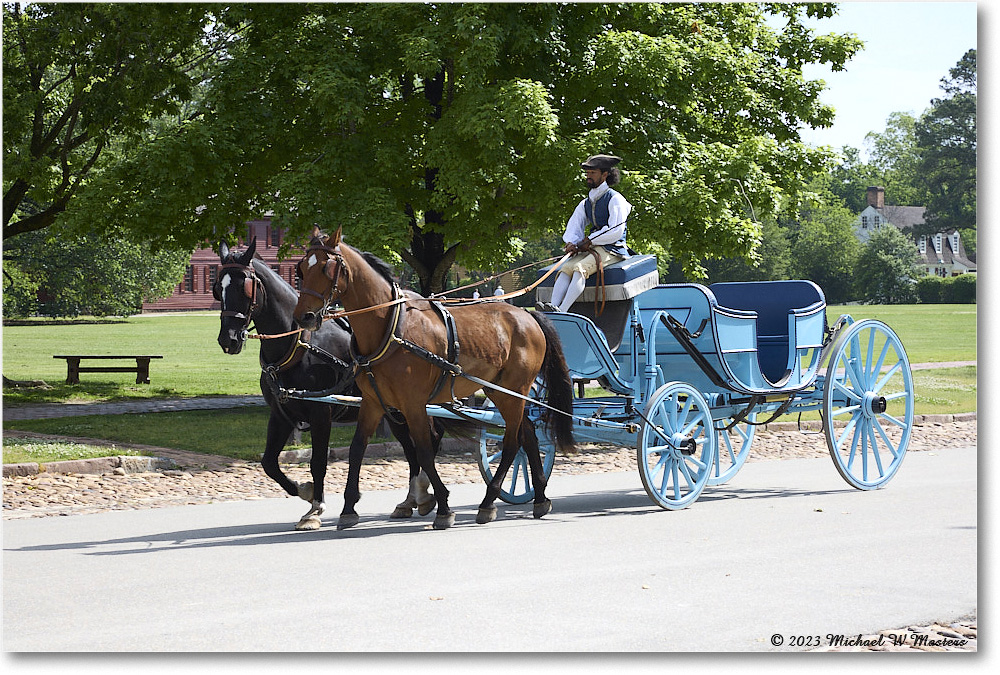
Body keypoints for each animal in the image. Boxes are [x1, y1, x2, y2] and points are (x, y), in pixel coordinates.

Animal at [219, 240, 454, 532]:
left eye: (245, 286)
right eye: (218, 287)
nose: (228, 339)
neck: (298, 345)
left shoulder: (321, 415)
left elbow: (318, 461)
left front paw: (315, 508)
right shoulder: (281, 415)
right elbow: (269, 463)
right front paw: (304, 490)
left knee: (429, 439)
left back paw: (424, 492)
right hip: (392, 409)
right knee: (411, 448)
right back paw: (412, 498)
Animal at [292, 230, 572, 532]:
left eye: (326, 268)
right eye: (300, 269)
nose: (304, 317)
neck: (391, 327)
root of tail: (527, 314)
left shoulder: (413, 404)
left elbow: (424, 452)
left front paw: (443, 506)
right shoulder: (373, 402)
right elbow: (357, 450)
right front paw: (348, 508)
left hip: (513, 389)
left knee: (512, 441)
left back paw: (488, 501)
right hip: (500, 391)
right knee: (528, 433)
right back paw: (540, 497)